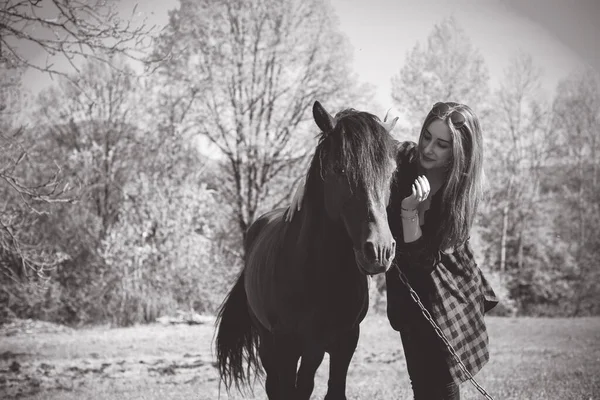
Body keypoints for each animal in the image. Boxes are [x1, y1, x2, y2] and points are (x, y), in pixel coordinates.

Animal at [214, 101, 398, 398]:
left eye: (391, 171)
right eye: (339, 168)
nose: (379, 250)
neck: (318, 271)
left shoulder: (345, 341)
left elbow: (333, 390)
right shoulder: (288, 345)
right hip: (268, 342)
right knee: (274, 386)